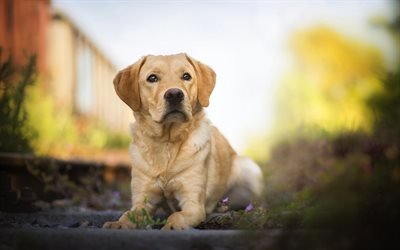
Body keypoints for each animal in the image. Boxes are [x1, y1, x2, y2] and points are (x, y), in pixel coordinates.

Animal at [102, 53, 262, 229]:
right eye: (152, 78)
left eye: (186, 76)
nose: (174, 94)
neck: (167, 142)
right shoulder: (143, 201)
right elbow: (127, 215)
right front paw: (117, 224)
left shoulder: (193, 204)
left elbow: (176, 216)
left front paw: (169, 227)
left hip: (249, 168)